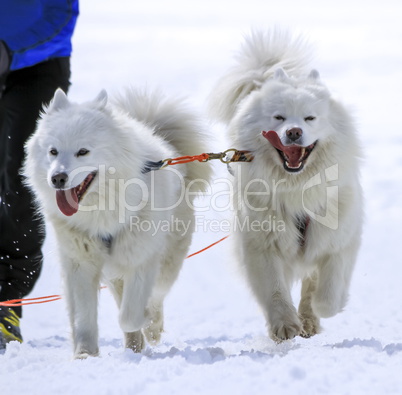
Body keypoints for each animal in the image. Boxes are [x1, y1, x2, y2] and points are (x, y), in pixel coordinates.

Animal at [22, 87, 210, 358]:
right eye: (53, 151)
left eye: (83, 151)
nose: (57, 178)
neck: (102, 213)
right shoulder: (80, 261)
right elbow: (83, 317)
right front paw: (84, 354)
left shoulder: (141, 258)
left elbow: (129, 316)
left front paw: (145, 320)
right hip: (115, 270)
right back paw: (134, 345)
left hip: (166, 261)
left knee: (156, 296)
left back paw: (151, 329)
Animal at [209, 30, 362, 344]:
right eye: (279, 117)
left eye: (310, 118)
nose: (293, 132)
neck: (296, 188)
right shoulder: (262, 243)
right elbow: (275, 290)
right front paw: (285, 327)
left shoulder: (340, 237)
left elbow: (330, 287)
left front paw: (322, 308)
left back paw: (310, 318)